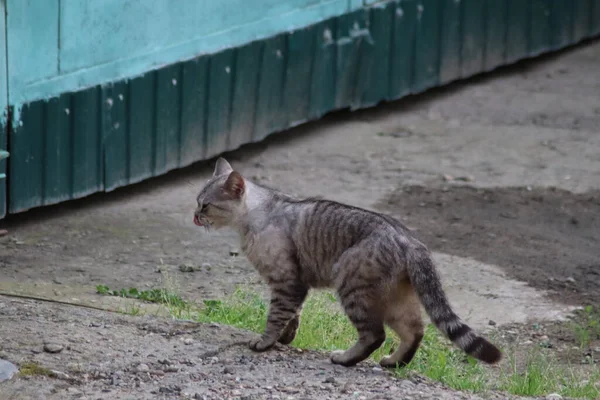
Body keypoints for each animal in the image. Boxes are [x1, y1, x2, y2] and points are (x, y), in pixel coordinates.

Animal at [193, 158, 502, 368]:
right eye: (196, 202)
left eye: (205, 205)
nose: (194, 216)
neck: (258, 215)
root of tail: (409, 239)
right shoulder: (295, 284)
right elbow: (294, 315)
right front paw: (285, 338)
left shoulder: (286, 280)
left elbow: (277, 315)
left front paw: (265, 342)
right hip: (396, 299)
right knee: (414, 330)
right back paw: (393, 362)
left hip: (353, 287)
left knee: (374, 335)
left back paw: (344, 359)